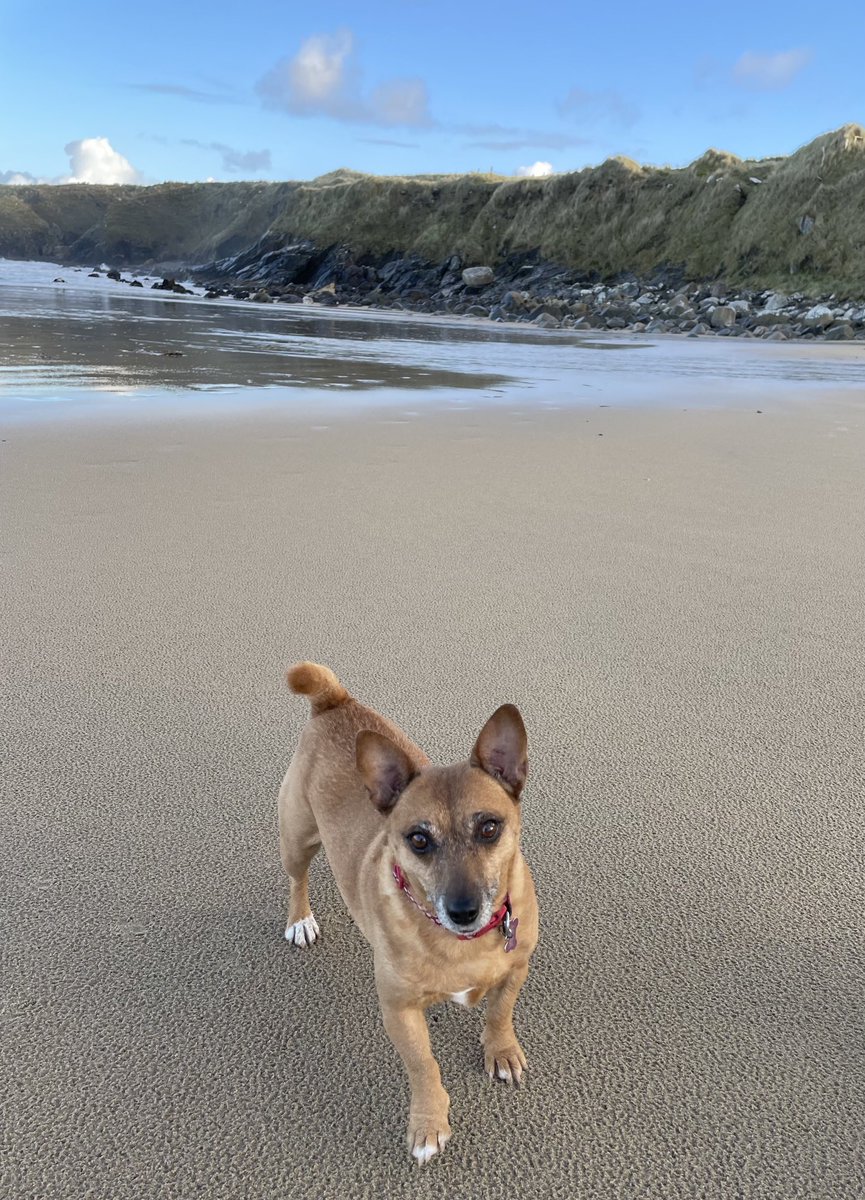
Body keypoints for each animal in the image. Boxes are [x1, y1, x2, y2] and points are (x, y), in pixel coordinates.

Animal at [277, 667, 537, 1161]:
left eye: (489, 828)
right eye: (418, 840)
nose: (463, 911)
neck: (462, 945)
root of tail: (334, 701)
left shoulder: (517, 968)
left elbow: (500, 1012)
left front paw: (501, 1050)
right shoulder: (400, 1012)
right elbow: (424, 1065)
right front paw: (428, 1123)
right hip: (297, 838)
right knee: (297, 879)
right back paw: (299, 919)